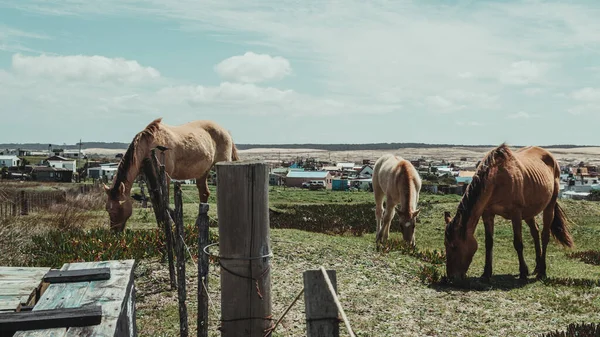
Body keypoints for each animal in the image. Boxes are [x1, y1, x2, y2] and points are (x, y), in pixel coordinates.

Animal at [104, 117, 240, 231]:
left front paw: (170, 224)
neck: (149, 145)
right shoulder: (150, 179)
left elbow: (164, 201)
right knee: (204, 193)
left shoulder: (166, 176)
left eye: (118, 208)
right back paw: (198, 225)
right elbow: (156, 202)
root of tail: (226, 132)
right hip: (202, 172)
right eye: (108, 209)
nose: (114, 232)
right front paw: (162, 225)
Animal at [442, 142, 576, 280]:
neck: (497, 179)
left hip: (549, 206)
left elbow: (518, 243)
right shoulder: (487, 214)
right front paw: (486, 273)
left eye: (454, 246)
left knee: (545, 235)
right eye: (445, 245)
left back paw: (542, 272)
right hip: (529, 212)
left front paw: (523, 272)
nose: (451, 276)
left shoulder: (515, 213)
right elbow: (489, 242)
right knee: (535, 232)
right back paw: (537, 267)